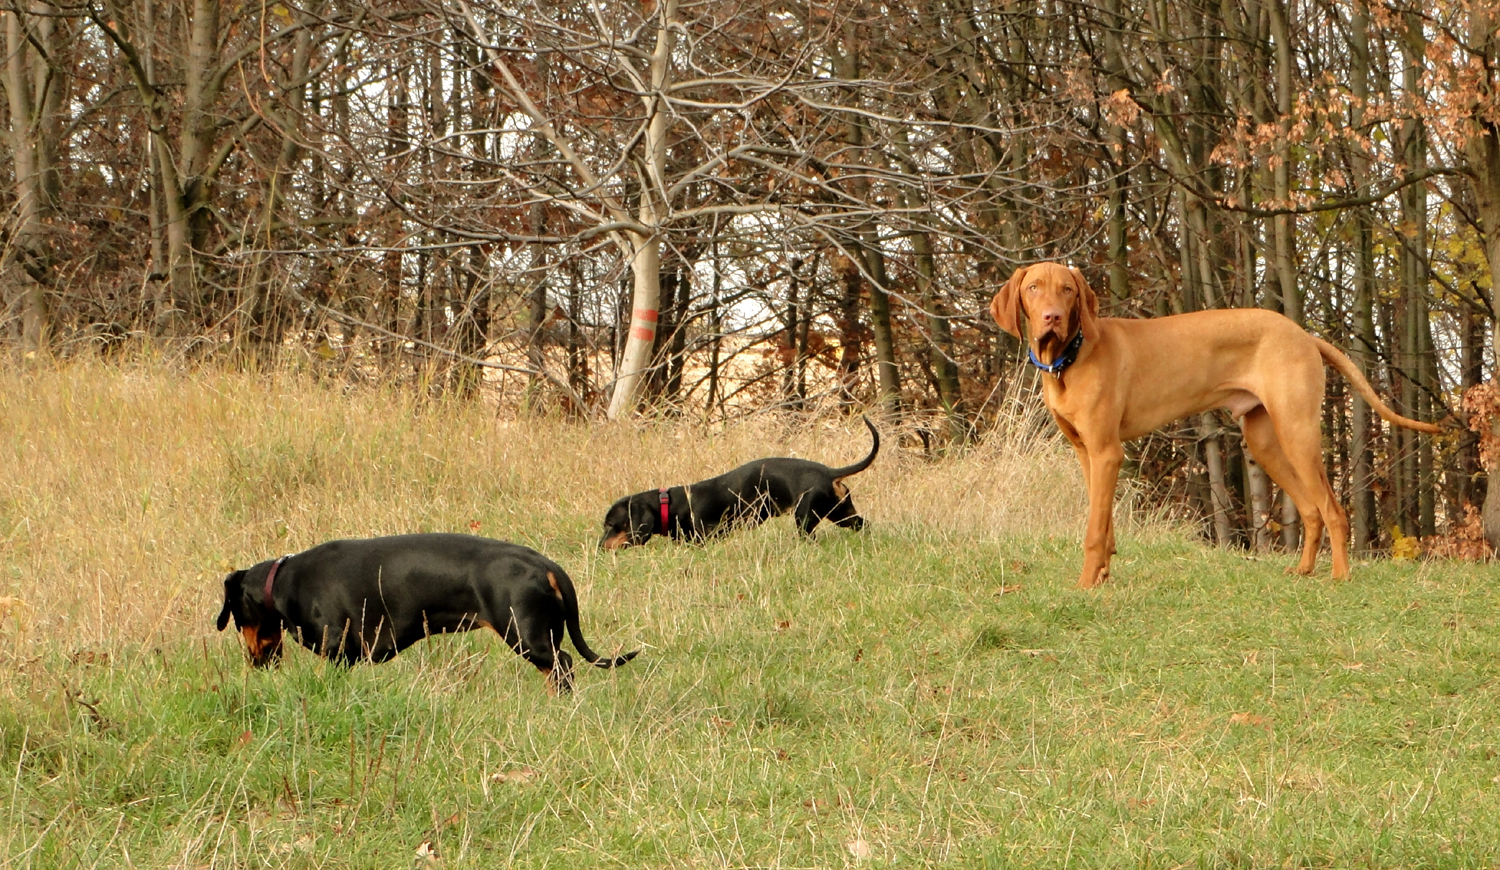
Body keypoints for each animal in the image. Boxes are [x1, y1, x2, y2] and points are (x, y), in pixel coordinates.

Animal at [984, 261, 1440, 588]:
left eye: (1067, 289)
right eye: (1033, 288)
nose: (1052, 318)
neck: (1071, 357)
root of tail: (1303, 335)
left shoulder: (1106, 452)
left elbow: (1094, 530)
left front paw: (1084, 585)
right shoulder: (1086, 454)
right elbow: (1105, 522)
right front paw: (1102, 576)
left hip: (1296, 431)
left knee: (1332, 508)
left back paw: (1339, 576)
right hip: (1264, 440)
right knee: (1311, 509)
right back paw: (1303, 571)